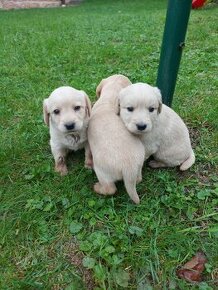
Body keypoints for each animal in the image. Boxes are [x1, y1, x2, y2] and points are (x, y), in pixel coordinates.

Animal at [87, 75, 145, 204]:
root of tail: (129, 168)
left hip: (102, 171)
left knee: (110, 189)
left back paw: (97, 187)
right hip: (139, 163)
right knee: (138, 179)